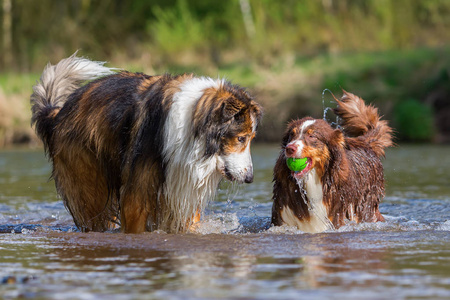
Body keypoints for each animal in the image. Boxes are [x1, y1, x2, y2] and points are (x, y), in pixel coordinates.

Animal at [31, 54, 262, 233]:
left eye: (251, 139)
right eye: (241, 138)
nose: (250, 178)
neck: (191, 127)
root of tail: (58, 113)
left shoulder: (183, 189)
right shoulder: (138, 194)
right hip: (89, 185)